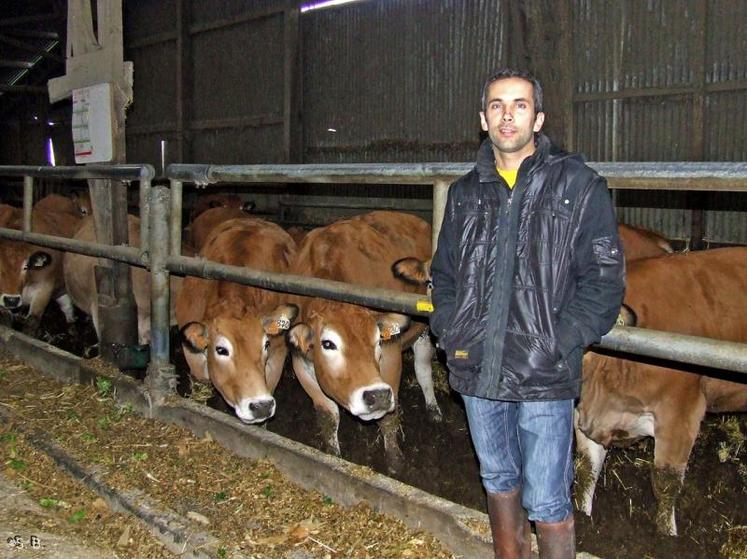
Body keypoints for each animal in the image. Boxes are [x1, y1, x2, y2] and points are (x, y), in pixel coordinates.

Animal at [284, 212, 438, 474]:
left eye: (377, 341)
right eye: (328, 344)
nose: (376, 395)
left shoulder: (391, 355)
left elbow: (389, 416)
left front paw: (395, 460)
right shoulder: (300, 361)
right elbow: (328, 416)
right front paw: (332, 455)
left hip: (424, 329)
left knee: (423, 368)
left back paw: (433, 408)